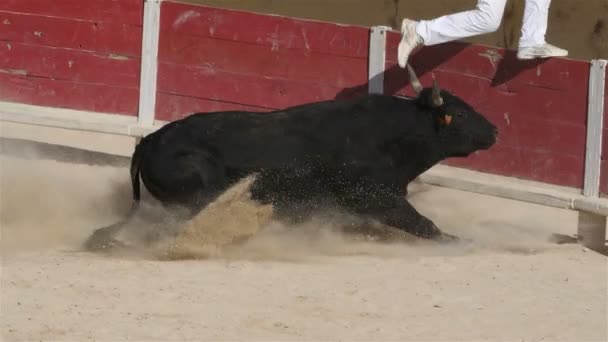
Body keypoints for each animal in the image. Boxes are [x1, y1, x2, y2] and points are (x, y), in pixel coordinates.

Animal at [82, 65, 498, 251]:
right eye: (460, 114)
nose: (494, 130)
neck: (397, 134)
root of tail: (149, 141)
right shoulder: (373, 195)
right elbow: (423, 223)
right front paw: (461, 241)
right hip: (195, 196)